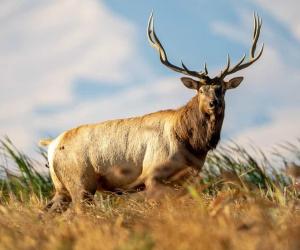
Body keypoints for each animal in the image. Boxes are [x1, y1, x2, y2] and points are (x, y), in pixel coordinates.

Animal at [39, 12, 262, 210]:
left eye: (222, 89)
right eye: (200, 90)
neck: (190, 143)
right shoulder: (153, 175)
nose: (214, 103)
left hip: (61, 188)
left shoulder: (185, 180)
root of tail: (51, 146)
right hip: (80, 183)